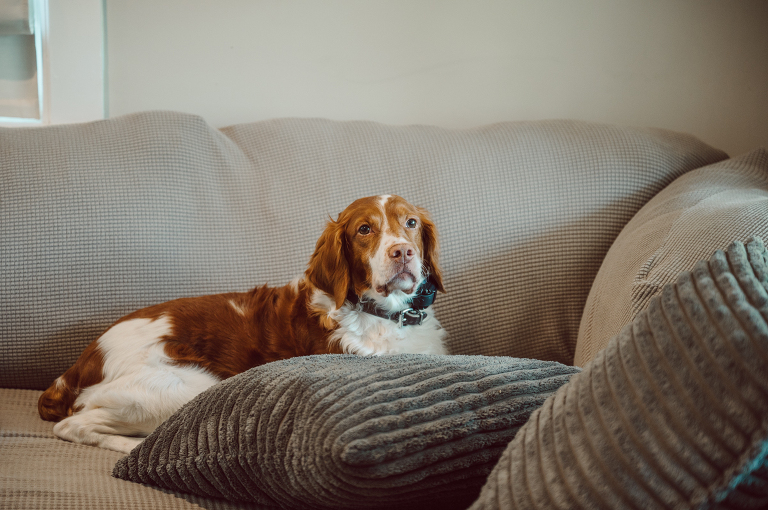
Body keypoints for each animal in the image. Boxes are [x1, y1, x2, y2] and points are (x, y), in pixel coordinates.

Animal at [37, 195, 444, 454]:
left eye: (410, 223)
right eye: (364, 230)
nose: (402, 252)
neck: (385, 314)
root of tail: (78, 366)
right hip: (181, 387)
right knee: (73, 426)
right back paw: (134, 446)